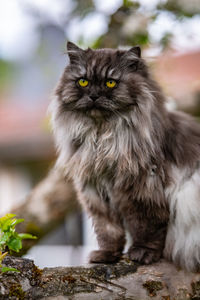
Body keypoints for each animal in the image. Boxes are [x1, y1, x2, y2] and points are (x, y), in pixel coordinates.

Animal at [50, 41, 200, 274]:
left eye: (111, 83)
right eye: (83, 81)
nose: (93, 95)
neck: (103, 138)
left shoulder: (144, 187)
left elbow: (147, 226)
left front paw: (143, 253)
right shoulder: (95, 192)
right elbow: (108, 230)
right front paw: (107, 255)